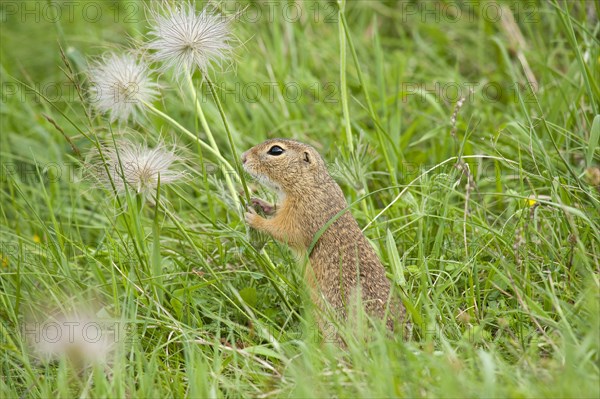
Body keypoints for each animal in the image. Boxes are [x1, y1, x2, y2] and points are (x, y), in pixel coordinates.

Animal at [240, 139, 404, 336]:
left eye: (276, 150)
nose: (242, 157)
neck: (310, 184)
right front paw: (259, 202)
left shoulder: (302, 215)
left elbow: (283, 231)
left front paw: (253, 218)